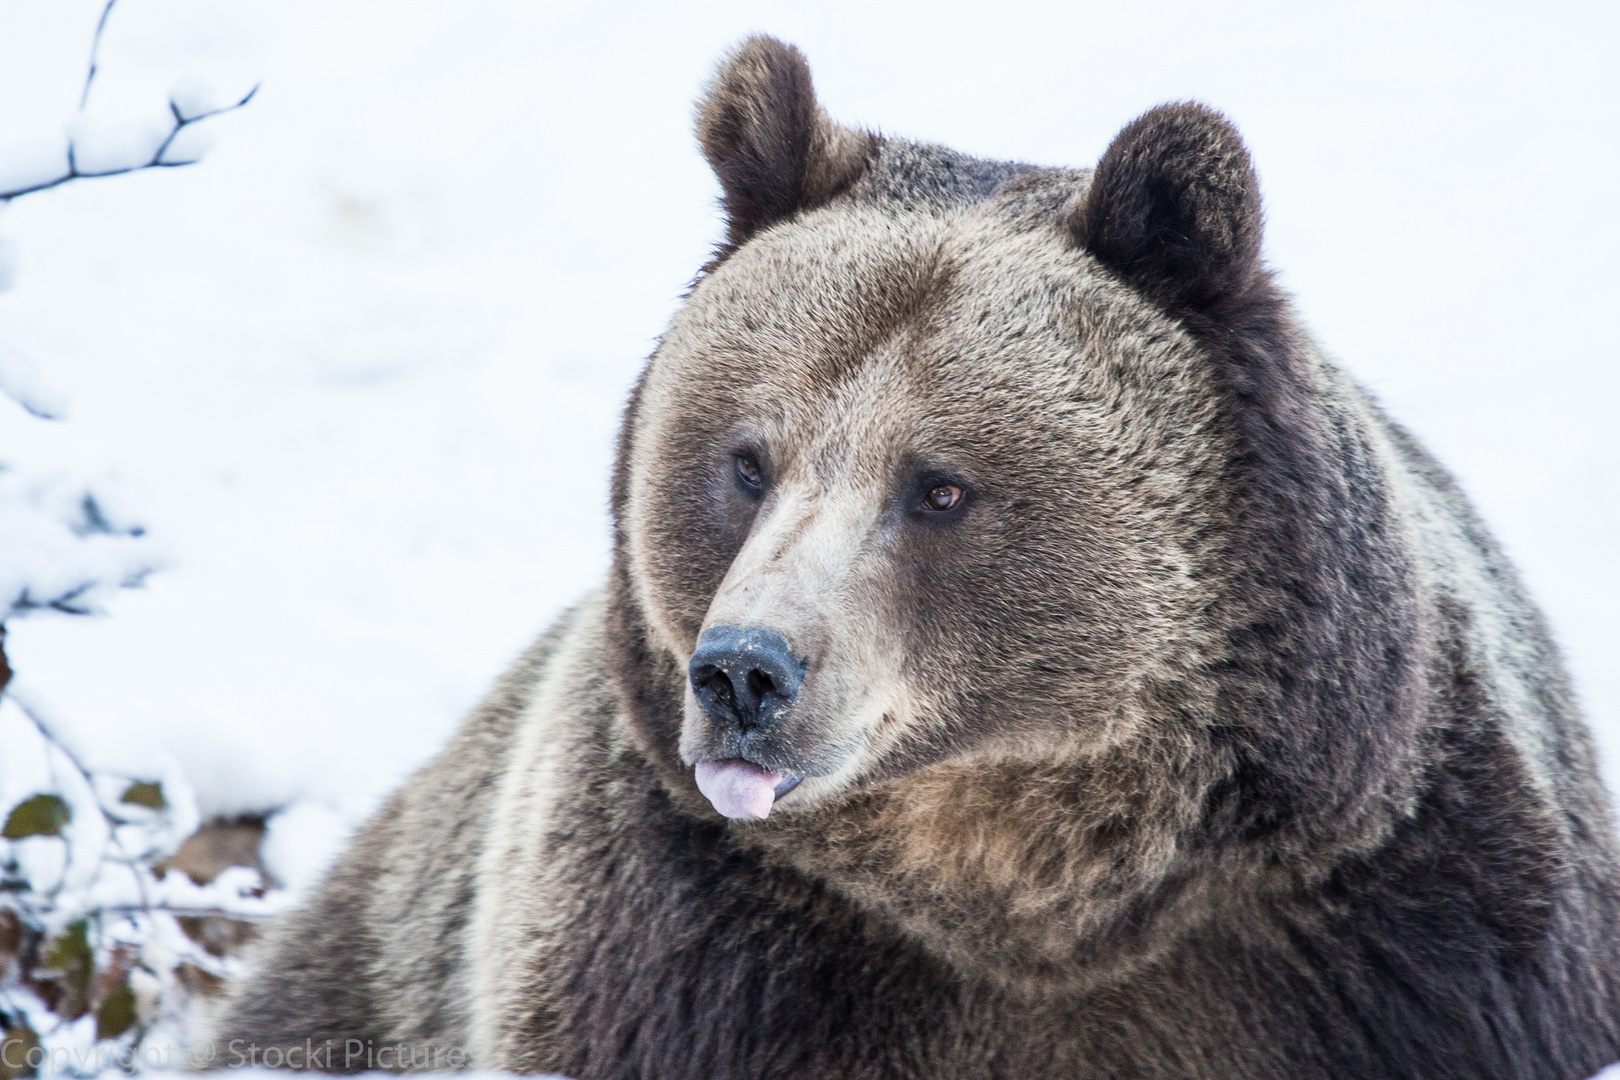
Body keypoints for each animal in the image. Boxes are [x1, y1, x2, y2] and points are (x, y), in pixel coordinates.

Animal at [212, 33, 1620, 1080]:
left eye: (938, 487)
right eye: (748, 458)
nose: (744, 672)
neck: (1022, 891)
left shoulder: (1407, 929)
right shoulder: (685, 941)